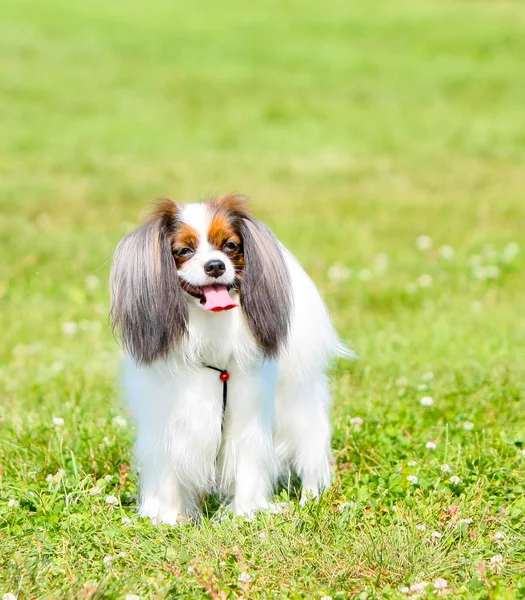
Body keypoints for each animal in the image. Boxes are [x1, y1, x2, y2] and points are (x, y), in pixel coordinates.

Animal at [108, 195, 350, 524]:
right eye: (184, 251)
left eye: (231, 246)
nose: (215, 265)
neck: (210, 326)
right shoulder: (168, 422)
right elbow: (168, 474)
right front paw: (168, 519)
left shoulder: (247, 416)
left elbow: (248, 469)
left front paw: (245, 515)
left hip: (299, 407)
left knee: (310, 452)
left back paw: (309, 500)